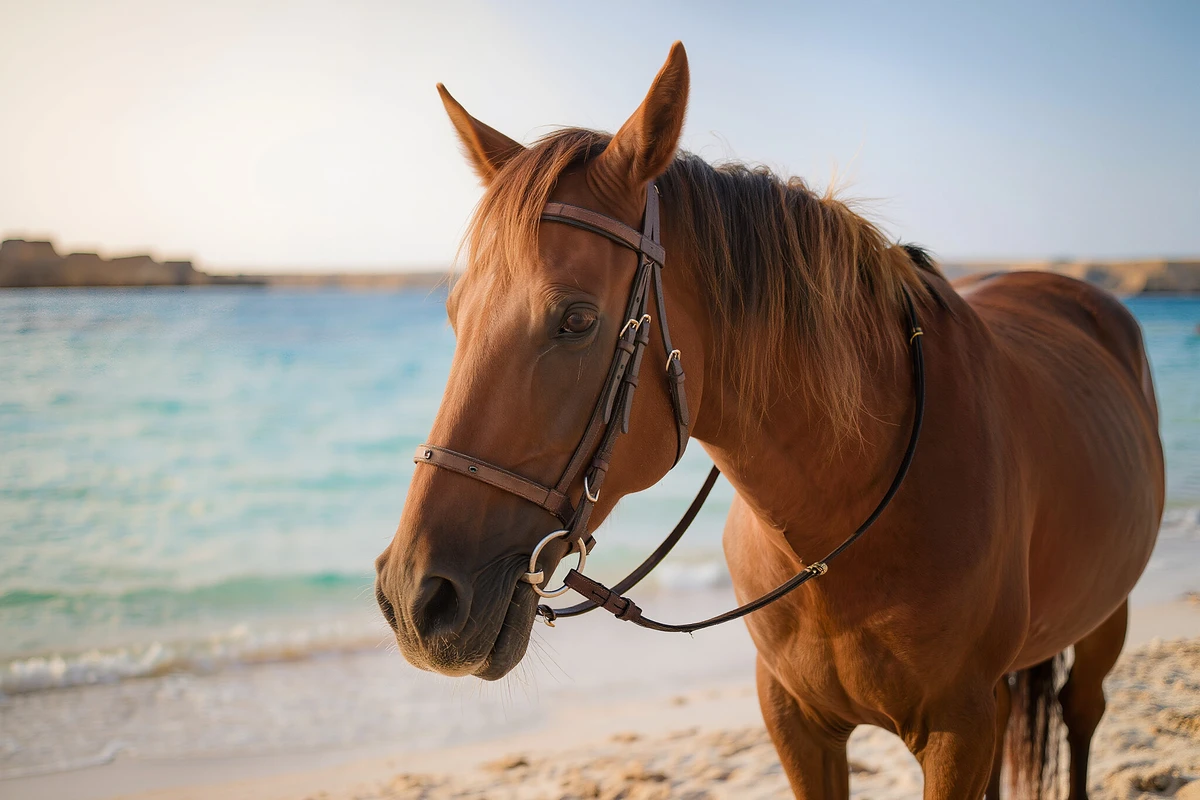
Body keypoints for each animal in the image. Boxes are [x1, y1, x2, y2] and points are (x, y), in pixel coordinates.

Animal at [374, 42, 1164, 799]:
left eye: (576, 320)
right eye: (455, 314)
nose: (415, 600)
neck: (840, 523)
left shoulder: (958, 730)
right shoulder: (796, 720)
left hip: (1105, 625)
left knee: (1084, 715)